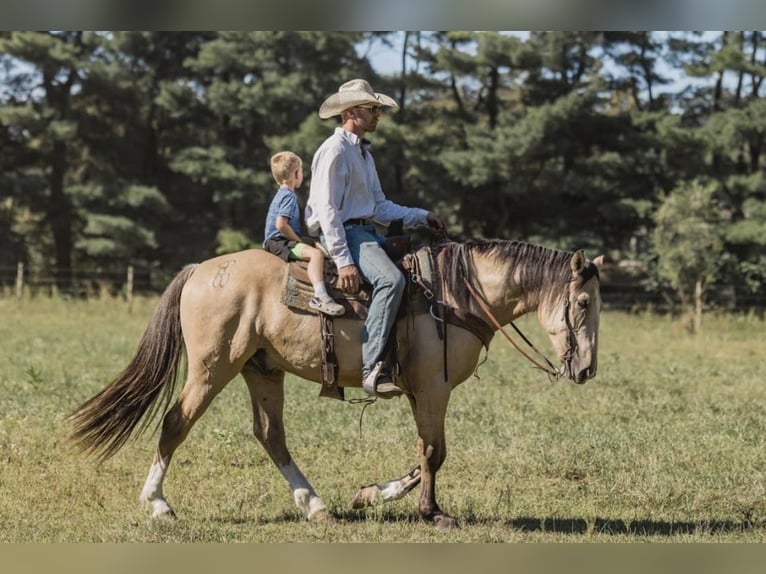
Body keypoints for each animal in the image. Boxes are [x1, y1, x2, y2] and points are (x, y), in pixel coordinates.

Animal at [67, 237, 608, 532]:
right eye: (583, 303)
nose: (586, 369)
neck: (453, 295)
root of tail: (202, 269)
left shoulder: (421, 393)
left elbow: (422, 454)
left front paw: (373, 493)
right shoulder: (434, 388)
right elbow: (435, 453)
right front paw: (432, 512)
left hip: (262, 370)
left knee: (271, 435)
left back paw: (315, 506)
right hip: (212, 366)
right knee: (176, 422)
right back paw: (159, 505)